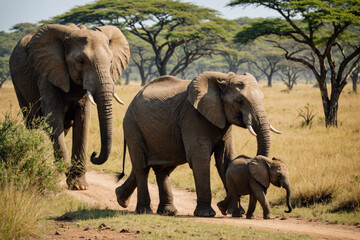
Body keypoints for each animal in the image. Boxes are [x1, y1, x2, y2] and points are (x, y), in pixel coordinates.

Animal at [8, 23, 131, 190]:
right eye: (80, 61)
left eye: (111, 62)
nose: (94, 154)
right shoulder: (47, 74)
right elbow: (54, 119)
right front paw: (66, 173)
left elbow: (83, 120)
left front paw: (79, 185)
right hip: (18, 84)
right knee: (32, 123)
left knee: (62, 129)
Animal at [115, 71, 282, 218]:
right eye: (240, 101)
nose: (221, 205)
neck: (223, 78)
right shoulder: (193, 116)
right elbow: (200, 159)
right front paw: (207, 214)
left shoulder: (223, 120)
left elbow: (225, 160)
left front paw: (235, 211)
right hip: (132, 125)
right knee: (142, 167)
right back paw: (143, 210)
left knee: (162, 168)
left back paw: (152, 207)